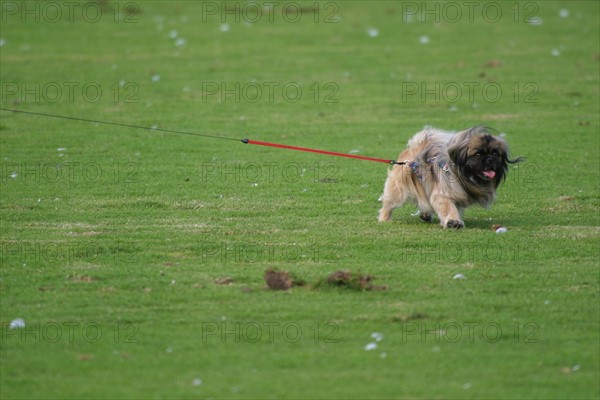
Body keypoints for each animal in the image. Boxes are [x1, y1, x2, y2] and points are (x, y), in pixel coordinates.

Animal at [378, 126, 524, 230]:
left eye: (495, 153)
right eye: (477, 154)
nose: (490, 159)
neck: (463, 176)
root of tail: (413, 149)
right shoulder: (443, 195)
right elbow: (449, 209)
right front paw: (453, 222)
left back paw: (426, 215)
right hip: (398, 191)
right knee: (388, 205)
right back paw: (384, 219)